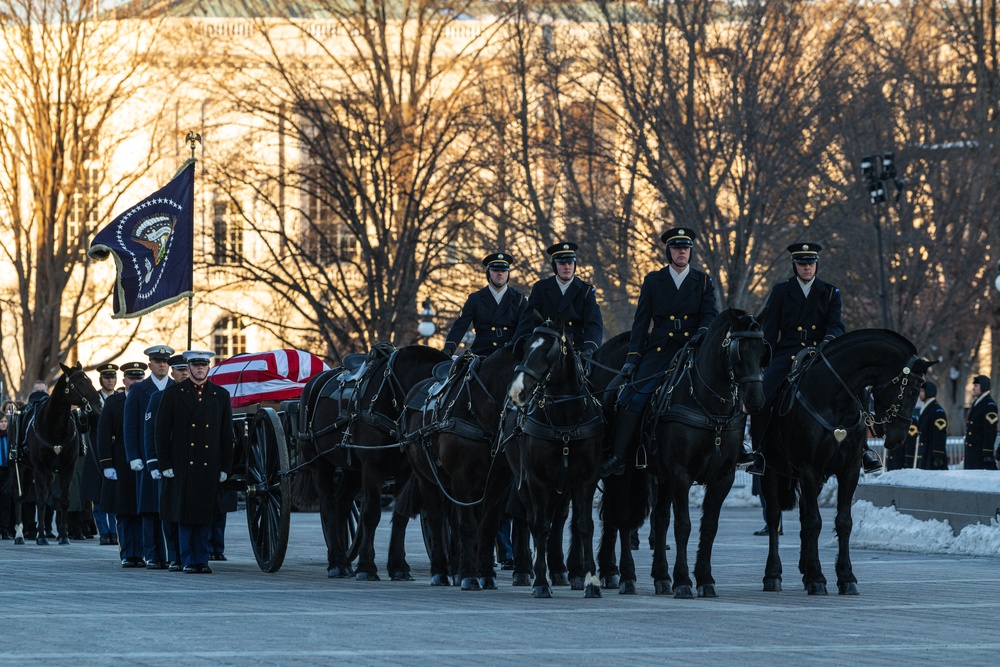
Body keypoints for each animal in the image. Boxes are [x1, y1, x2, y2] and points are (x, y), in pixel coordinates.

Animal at [13, 366, 101, 548]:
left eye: (89, 379)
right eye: (79, 382)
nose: (99, 403)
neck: (55, 425)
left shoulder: (67, 468)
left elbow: (64, 501)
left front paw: (64, 536)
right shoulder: (40, 468)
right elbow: (40, 500)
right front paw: (41, 536)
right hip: (21, 467)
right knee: (19, 497)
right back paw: (19, 535)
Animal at [404, 350, 520, 588]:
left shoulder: (498, 482)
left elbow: (486, 526)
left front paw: (484, 574)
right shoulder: (462, 477)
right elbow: (467, 525)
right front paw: (469, 577)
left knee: (453, 521)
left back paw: (457, 569)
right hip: (426, 479)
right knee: (437, 519)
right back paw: (440, 572)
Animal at [508, 320, 600, 596]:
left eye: (547, 352)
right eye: (525, 346)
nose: (517, 392)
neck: (565, 422)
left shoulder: (586, 479)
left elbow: (584, 524)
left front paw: (591, 580)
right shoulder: (536, 479)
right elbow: (539, 525)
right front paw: (540, 581)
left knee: (558, 518)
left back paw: (560, 569)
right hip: (523, 480)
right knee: (528, 518)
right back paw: (526, 570)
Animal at [644, 310, 768, 596]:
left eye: (762, 351)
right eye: (738, 352)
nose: (756, 400)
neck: (712, 412)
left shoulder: (723, 477)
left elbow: (709, 527)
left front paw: (705, 578)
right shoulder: (680, 475)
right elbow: (683, 525)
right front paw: (682, 580)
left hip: (661, 478)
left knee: (660, 519)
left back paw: (660, 575)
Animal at [756, 328, 928, 596]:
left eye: (919, 389)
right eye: (910, 390)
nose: (899, 437)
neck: (833, 399)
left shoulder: (850, 470)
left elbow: (843, 522)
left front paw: (845, 577)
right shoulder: (808, 469)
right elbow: (815, 522)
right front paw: (819, 579)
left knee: (802, 515)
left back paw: (805, 570)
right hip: (772, 471)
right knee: (774, 517)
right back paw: (773, 574)